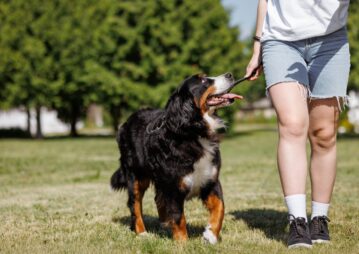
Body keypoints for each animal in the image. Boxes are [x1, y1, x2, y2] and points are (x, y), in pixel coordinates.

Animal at [111, 72, 243, 243]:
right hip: (136, 177)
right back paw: (142, 233)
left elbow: (220, 207)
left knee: (158, 199)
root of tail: (127, 122)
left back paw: (164, 225)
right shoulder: (173, 187)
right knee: (135, 204)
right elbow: (179, 217)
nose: (230, 74)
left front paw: (211, 235)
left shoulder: (210, 180)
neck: (194, 133)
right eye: (203, 80)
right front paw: (182, 243)